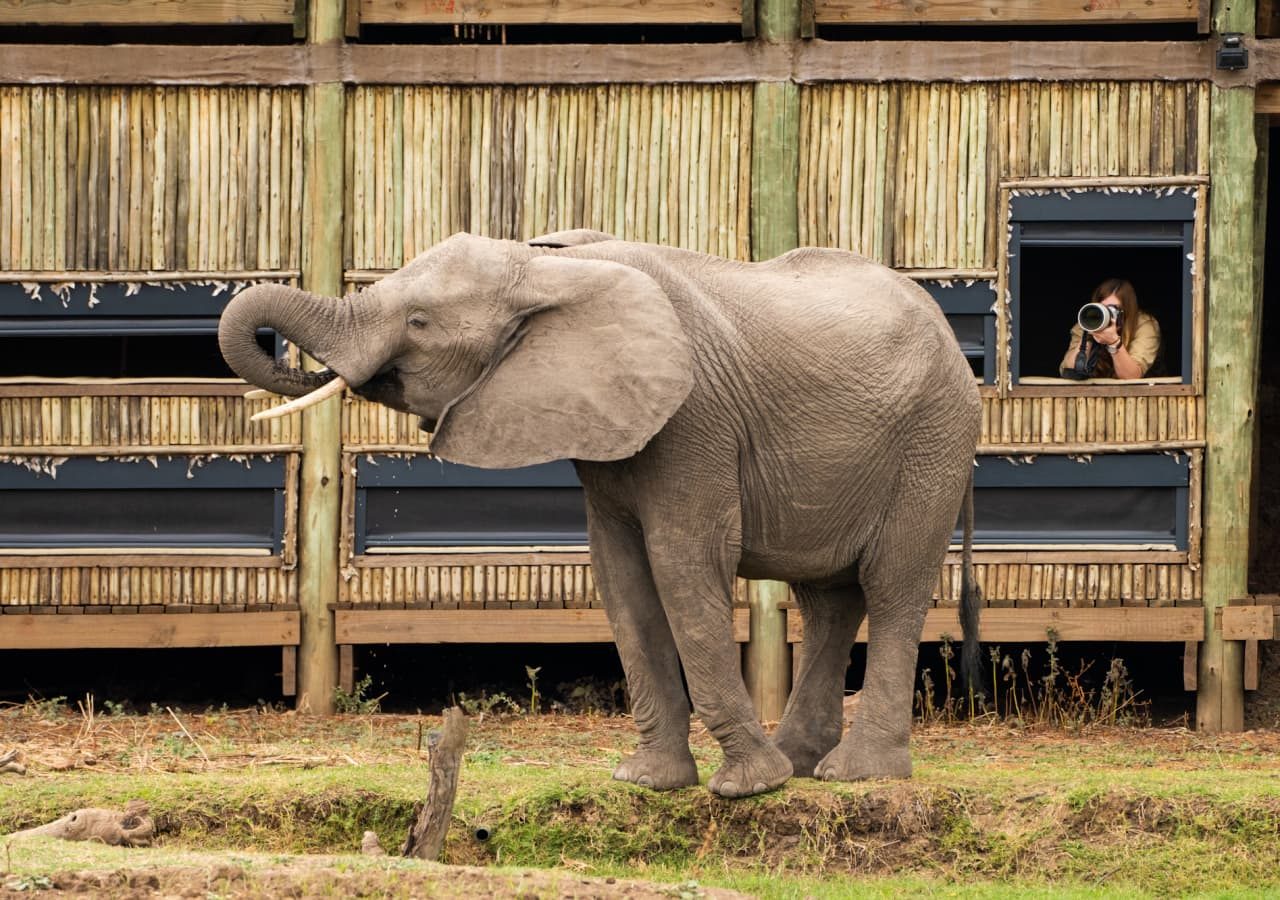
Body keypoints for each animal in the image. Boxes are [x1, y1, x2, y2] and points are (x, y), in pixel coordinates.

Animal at [217, 229, 977, 798]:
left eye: (419, 322)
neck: (548, 268)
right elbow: (622, 582)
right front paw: (647, 782)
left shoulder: (694, 419)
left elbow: (683, 567)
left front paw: (745, 789)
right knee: (827, 599)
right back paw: (801, 764)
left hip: (933, 441)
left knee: (890, 586)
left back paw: (855, 775)